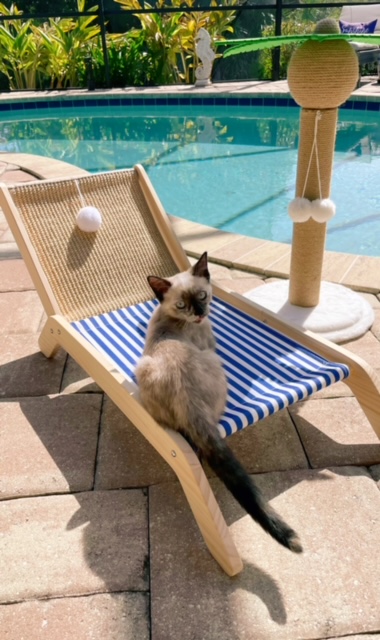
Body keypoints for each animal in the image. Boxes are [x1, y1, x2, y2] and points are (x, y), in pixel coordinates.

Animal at [135, 252, 302, 552]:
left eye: (202, 295)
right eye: (181, 305)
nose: (200, 313)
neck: (172, 319)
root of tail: (186, 398)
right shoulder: (210, 344)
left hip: (142, 366)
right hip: (214, 360)